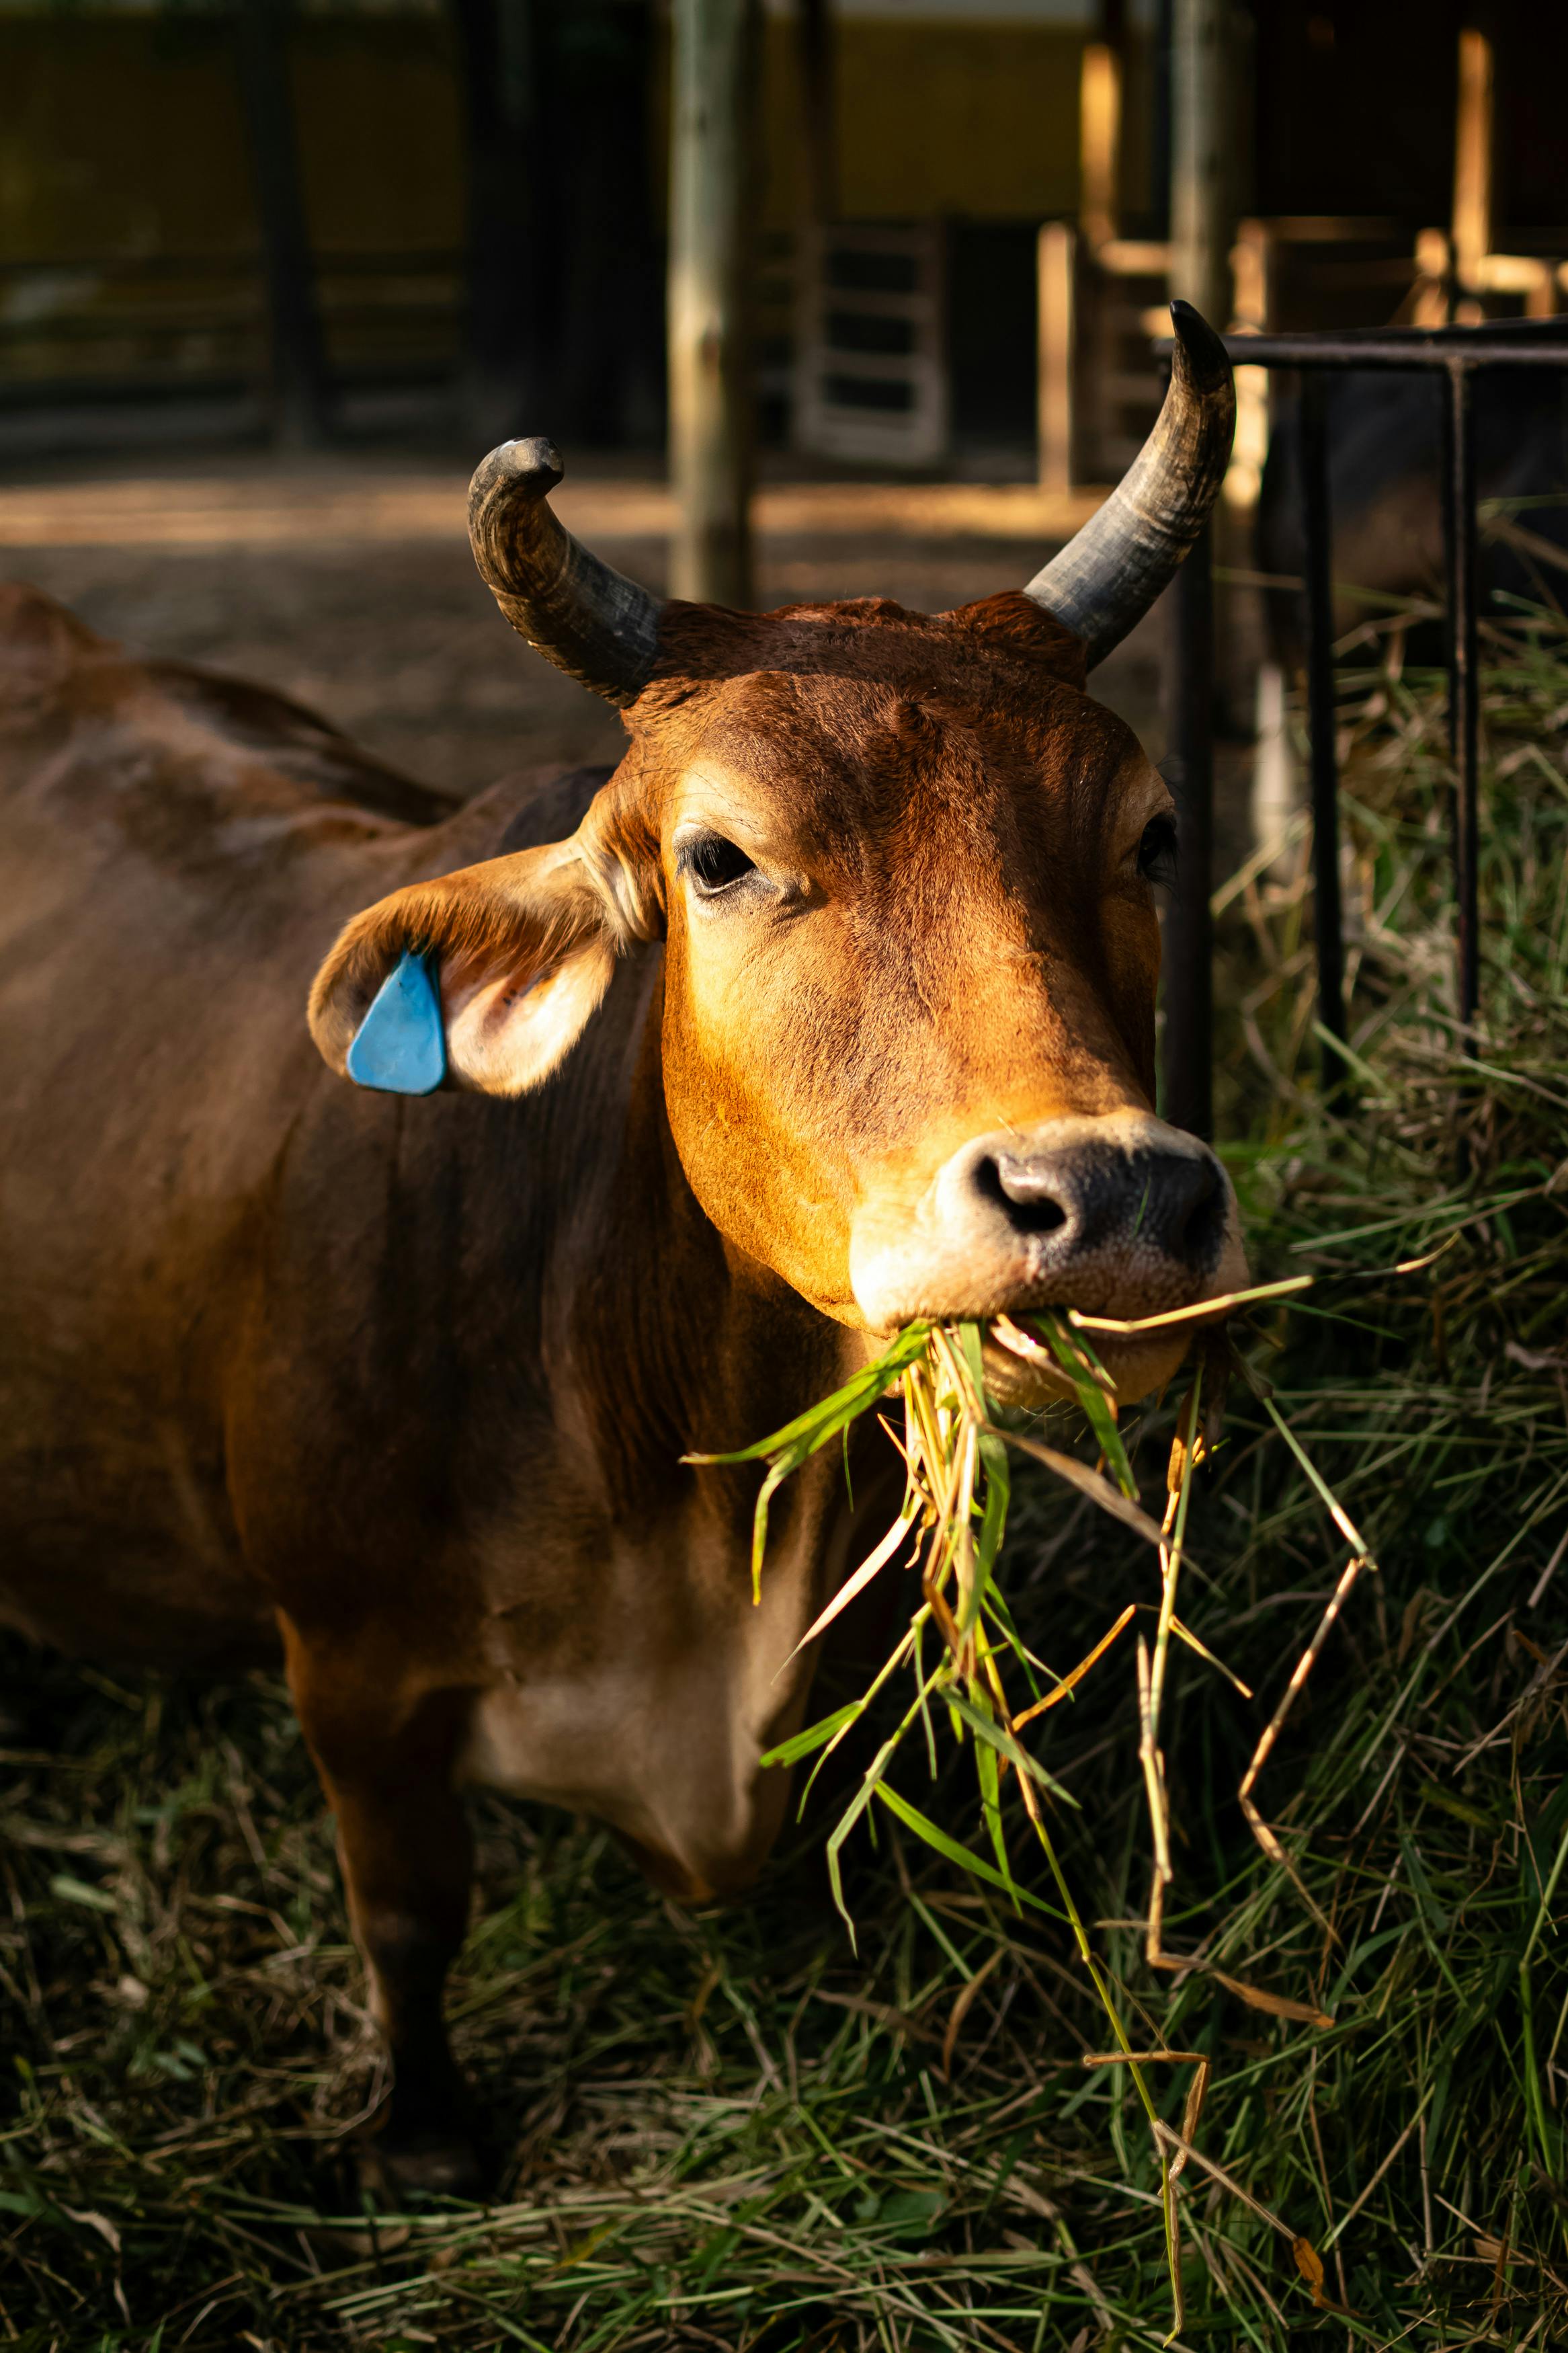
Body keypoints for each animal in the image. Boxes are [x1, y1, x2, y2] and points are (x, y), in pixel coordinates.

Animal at [0, 304, 1241, 2193]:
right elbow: (410, 1915)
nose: (1101, 1201)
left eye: (1152, 834)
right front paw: (424, 2142)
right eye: (720, 857)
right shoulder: (349, 1670)